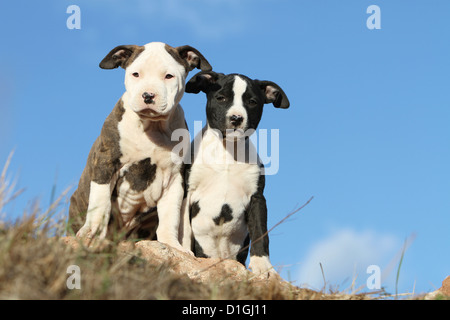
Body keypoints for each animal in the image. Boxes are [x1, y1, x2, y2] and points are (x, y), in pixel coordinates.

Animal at [181, 71, 290, 276]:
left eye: (252, 102)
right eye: (221, 98)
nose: (236, 118)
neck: (227, 152)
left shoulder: (257, 198)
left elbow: (260, 233)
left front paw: (263, 266)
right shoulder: (187, 192)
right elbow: (183, 227)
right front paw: (183, 252)